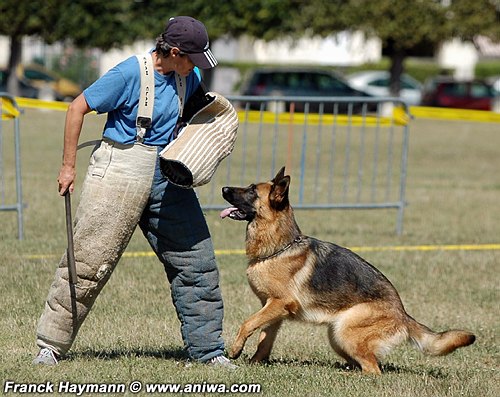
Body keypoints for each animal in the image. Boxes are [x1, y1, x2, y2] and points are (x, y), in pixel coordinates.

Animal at [221, 166, 474, 372]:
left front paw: (235, 350)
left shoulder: (279, 303)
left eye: (252, 190)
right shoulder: (273, 309)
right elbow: (264, 339)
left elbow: (247, 323)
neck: (279, 248)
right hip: (338, 337)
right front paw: (254, 363)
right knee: (367, 363)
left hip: (343, 332)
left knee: (374, 369)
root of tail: (402, 314)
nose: (223, 188)